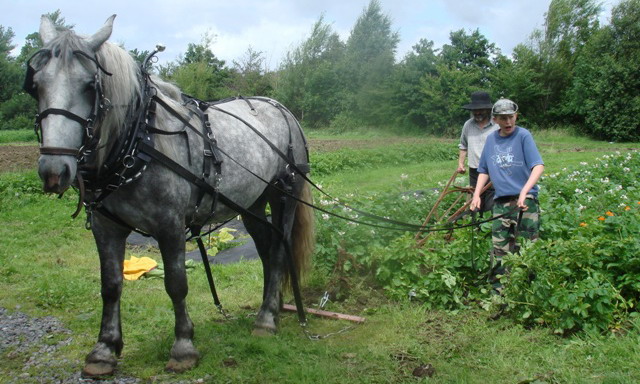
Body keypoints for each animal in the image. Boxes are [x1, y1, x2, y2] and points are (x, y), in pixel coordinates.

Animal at [26, 15, 316, 378]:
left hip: (284, 194)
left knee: (278, 251)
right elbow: (111, 285)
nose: (54, 171)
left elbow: (176, 284)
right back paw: (271, 307)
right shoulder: (107, 227)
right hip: (251, 203)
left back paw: (265, 320)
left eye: (89, 86)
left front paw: (183, 347)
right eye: (36, 85)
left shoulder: (170, 225)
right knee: (265, 249)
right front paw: (104, 350)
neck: (139, 142)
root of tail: (282, 109)